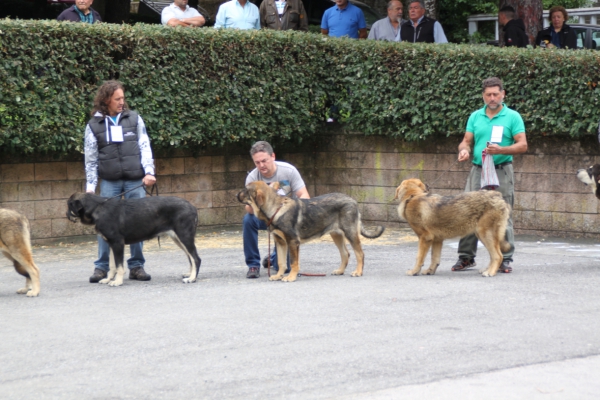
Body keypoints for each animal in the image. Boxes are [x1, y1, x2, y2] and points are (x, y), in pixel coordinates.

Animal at [236, 181, 384, 282]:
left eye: (246, 189)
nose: (236, 194)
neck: (276, 209)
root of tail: (353, 201)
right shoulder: (280, 242)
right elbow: (281, 262)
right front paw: (278, 276)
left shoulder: (292, 241)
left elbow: (293, 262)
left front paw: (291, 277)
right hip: (336, 234)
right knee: (345, 254)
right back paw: (340, 271)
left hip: (350, 233)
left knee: (360, 253)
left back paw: (358, 272)